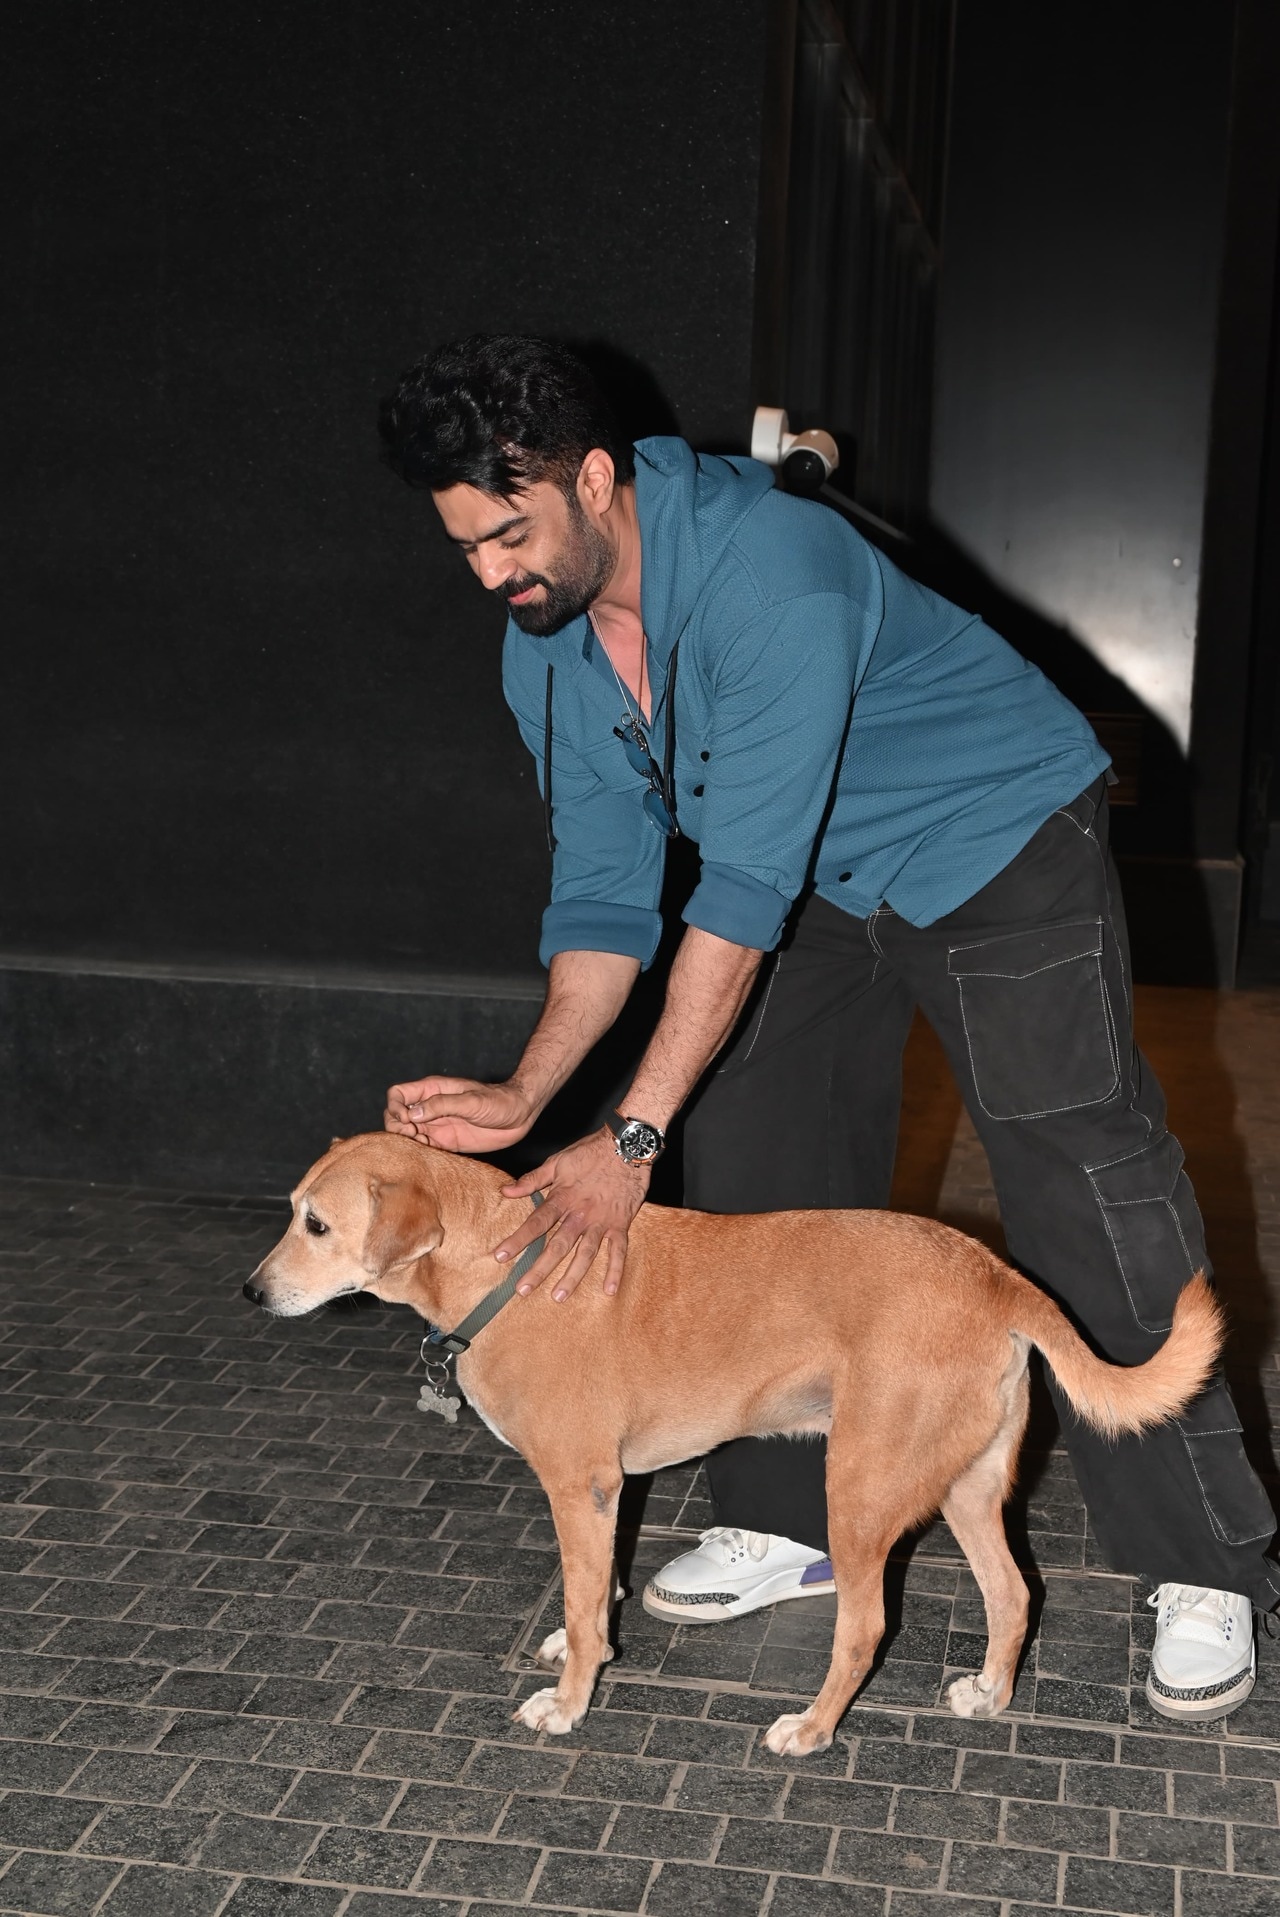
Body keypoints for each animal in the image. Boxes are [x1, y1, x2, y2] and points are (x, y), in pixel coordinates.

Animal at [245, 1127, 1226, 1755]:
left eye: (317, 1225)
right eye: (291, 1210)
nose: (252, 1293)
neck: (504, 1261)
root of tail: (995, 1276)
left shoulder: (577, 1482)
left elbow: (581, 1601)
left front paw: (570, 1702)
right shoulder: (612, 1488)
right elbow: (598, 1588)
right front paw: (586, 1648)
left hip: (858, 1493)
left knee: (866, 1626)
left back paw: (815, 1728)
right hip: (967, 1488)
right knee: (1015, 1596)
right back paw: (987, 1692)